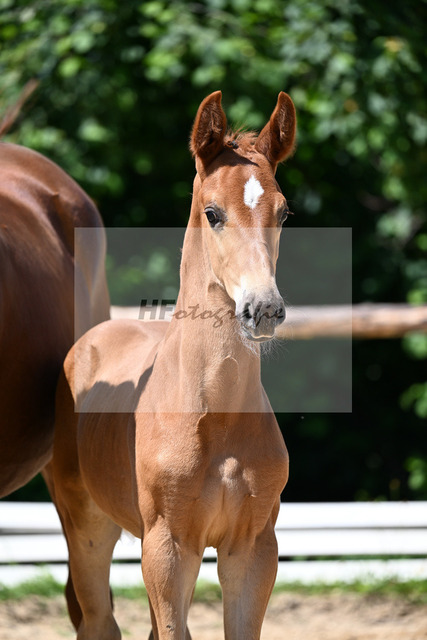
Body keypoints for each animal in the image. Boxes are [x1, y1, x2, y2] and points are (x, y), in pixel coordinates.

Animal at [52, 90, 296, 639]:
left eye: (284, 213)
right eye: (213, 212)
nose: (264, 309)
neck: (216, 414)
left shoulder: (253, 549)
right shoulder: (169, 548)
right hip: (88, 528)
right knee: (99, 620)